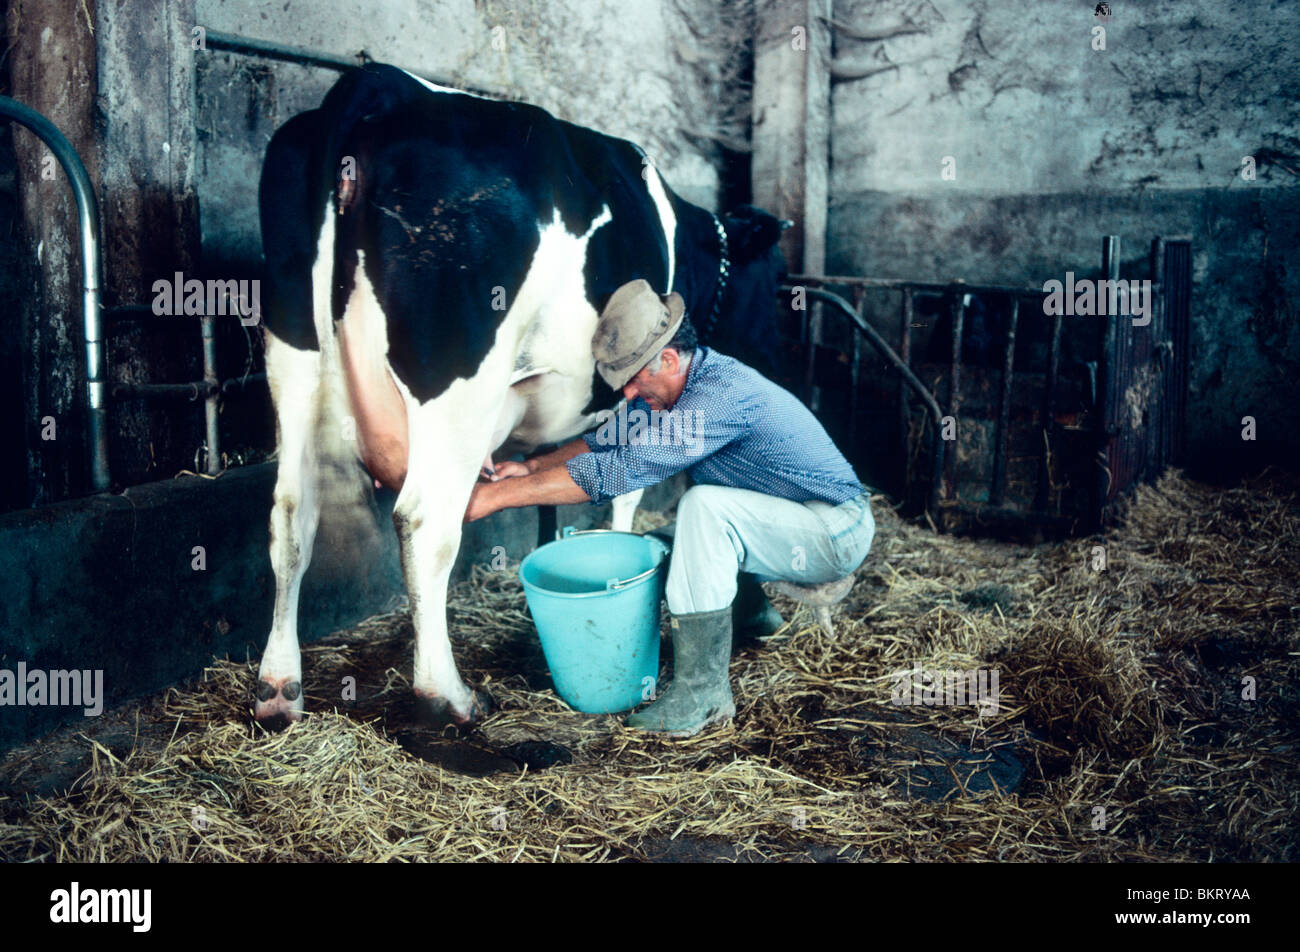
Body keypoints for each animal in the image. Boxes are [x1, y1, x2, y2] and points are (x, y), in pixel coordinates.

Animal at [250, 63, 780, 723]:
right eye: (779, 282)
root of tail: (382, 83)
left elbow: (548, 505)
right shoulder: (631, 404)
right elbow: (624, 496)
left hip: (292, 360)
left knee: (291, 514)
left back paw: (278, 689)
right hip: (459, 387)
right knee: (425, 523)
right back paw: (448, 695)